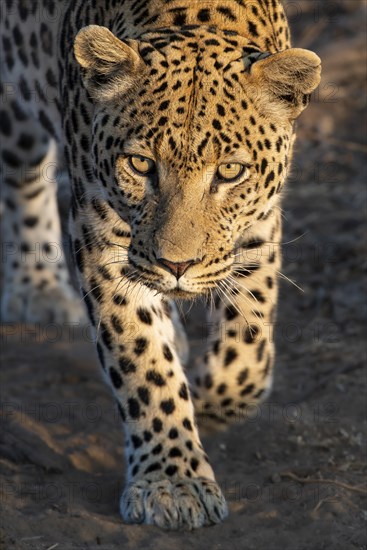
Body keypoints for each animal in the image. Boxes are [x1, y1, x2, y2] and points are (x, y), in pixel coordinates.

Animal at [0, 0, 322, 536]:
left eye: (230, 171)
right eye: (140, 165)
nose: (177, 263)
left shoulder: (258, 224)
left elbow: (248, 345)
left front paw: (213, 401)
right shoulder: (102, 240)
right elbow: (143, 363)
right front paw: (173, 481)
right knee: (20, 171)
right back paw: (36, 286)